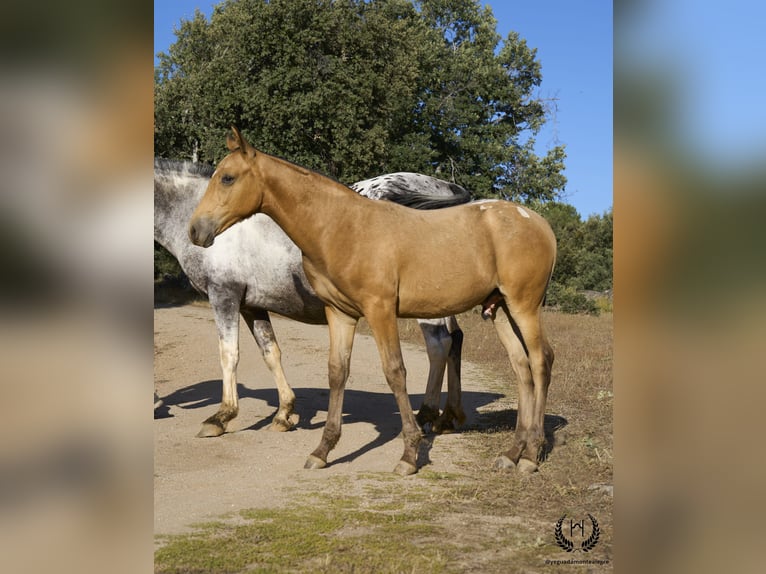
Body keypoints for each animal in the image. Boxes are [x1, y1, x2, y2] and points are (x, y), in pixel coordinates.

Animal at [154, 160, 468, 438]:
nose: (158, 403)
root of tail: (446, 187)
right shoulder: (252, 306)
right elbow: (271, 353)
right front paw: (283, 414)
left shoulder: (224, 295)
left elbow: (229, 354)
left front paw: (221, 417)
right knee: (455, 340)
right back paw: (448, 418)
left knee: (439, 346)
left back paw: (426, 414)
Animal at [188, 130, 556, 476]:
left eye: (227, 178)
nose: (195, 231)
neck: (342, 226)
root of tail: (538, 222)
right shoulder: (340, 314)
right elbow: (337, 372)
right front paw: (322, 451)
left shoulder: (380, 310)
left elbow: (395, 371)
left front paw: (409, 455)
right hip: (499, 309)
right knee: (521, 367)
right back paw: (512, 453)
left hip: (523, 306)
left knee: (540, 361)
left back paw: (531, 455)